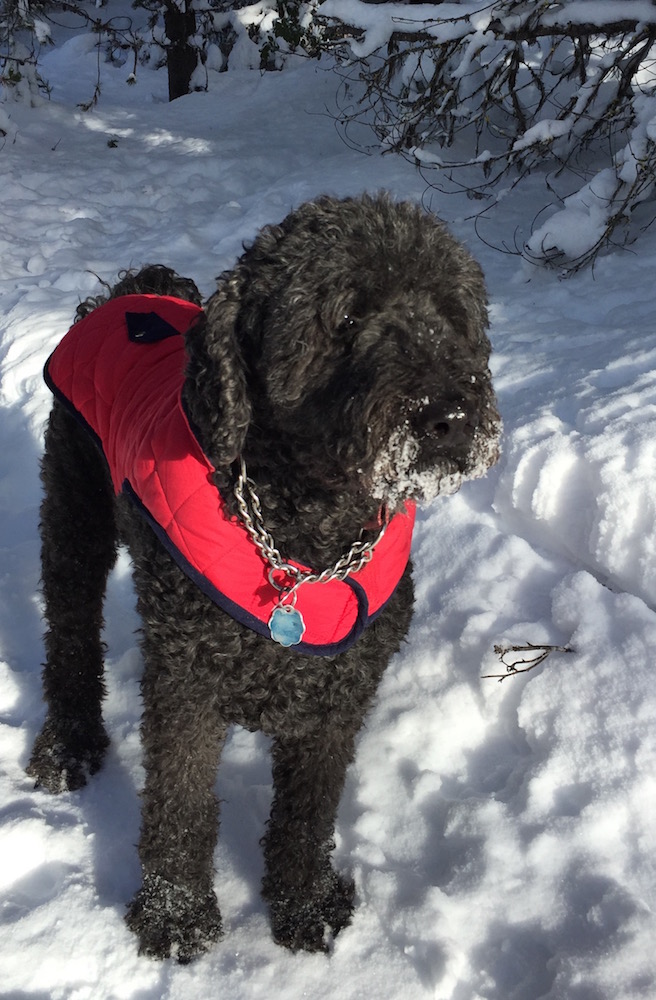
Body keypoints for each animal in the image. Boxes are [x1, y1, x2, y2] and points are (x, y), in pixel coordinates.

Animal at [26, 193, 501, 961]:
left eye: (450, 313)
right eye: (345, 318)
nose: (450, 417)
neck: (306, 537)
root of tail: (129, 291)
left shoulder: (340, 697)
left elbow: (308, 811)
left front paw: (304, 904)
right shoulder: (187, 686)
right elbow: (182, 803)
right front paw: (176, 915)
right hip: (74, 519)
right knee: (69, 635)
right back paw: (67, 745)